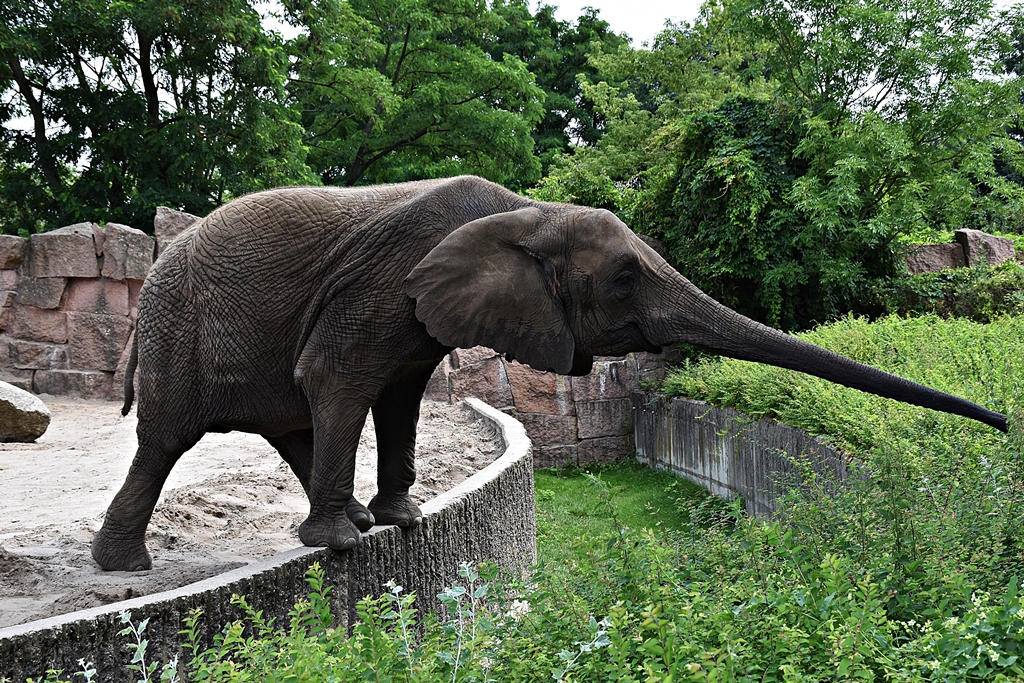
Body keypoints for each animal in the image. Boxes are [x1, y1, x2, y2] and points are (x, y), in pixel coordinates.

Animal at [91, 175, 1008, 572]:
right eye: (627, 277)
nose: (1005, 425)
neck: (523, 209)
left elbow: (398, 395)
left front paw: (402, 521)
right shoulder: (380, 286)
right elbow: (342, 378)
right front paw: (349, 546)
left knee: (291, 427)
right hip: (180, 331)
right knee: (169, 438)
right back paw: (126, 568)